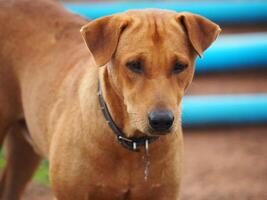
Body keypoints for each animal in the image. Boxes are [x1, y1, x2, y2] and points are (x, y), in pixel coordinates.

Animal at [0, 0, 222, 198]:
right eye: (134, 64)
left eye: (179, 66)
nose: (162, 121)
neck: (131, 143)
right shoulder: (71, 193)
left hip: (25, 151)